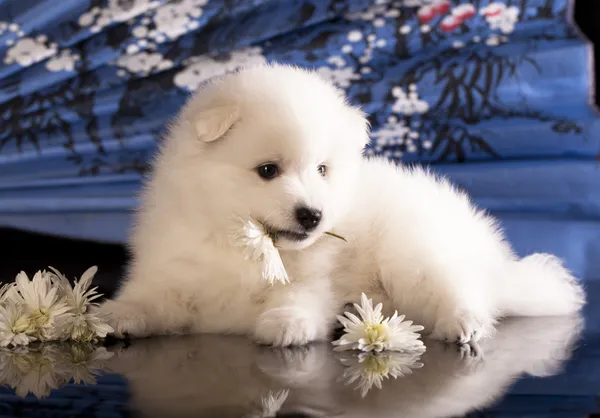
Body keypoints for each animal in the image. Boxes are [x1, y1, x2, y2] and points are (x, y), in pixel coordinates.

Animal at [98, 64, 584, 346]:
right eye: (268, 170)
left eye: (322, 169)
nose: (312, 215)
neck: (243, 241)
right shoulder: (172, 273)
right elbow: (148, 299)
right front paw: (111, 316)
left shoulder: (316, 275)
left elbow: (303, 295)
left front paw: (286, 323)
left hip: (414, 250)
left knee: (460, 288)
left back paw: (461, 323)